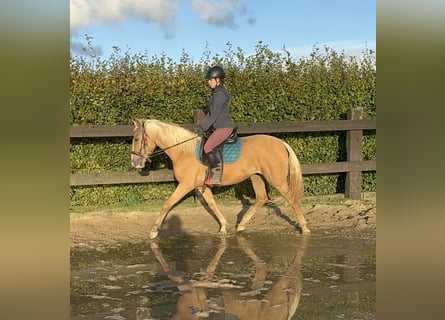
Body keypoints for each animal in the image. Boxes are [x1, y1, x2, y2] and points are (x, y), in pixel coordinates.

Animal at [130, 117, 310, 238]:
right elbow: (212, 204)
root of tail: (281, 143)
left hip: (276, 179)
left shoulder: (186, 184)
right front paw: (223, 226)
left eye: (137, 138)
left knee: (292, 199)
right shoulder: (200, 185)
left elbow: (168, 204)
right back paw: (241, 226)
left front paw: (154, 230)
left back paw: (304, 228)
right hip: (256, 176)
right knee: (261, 198)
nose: (134, 162)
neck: (184, 151)